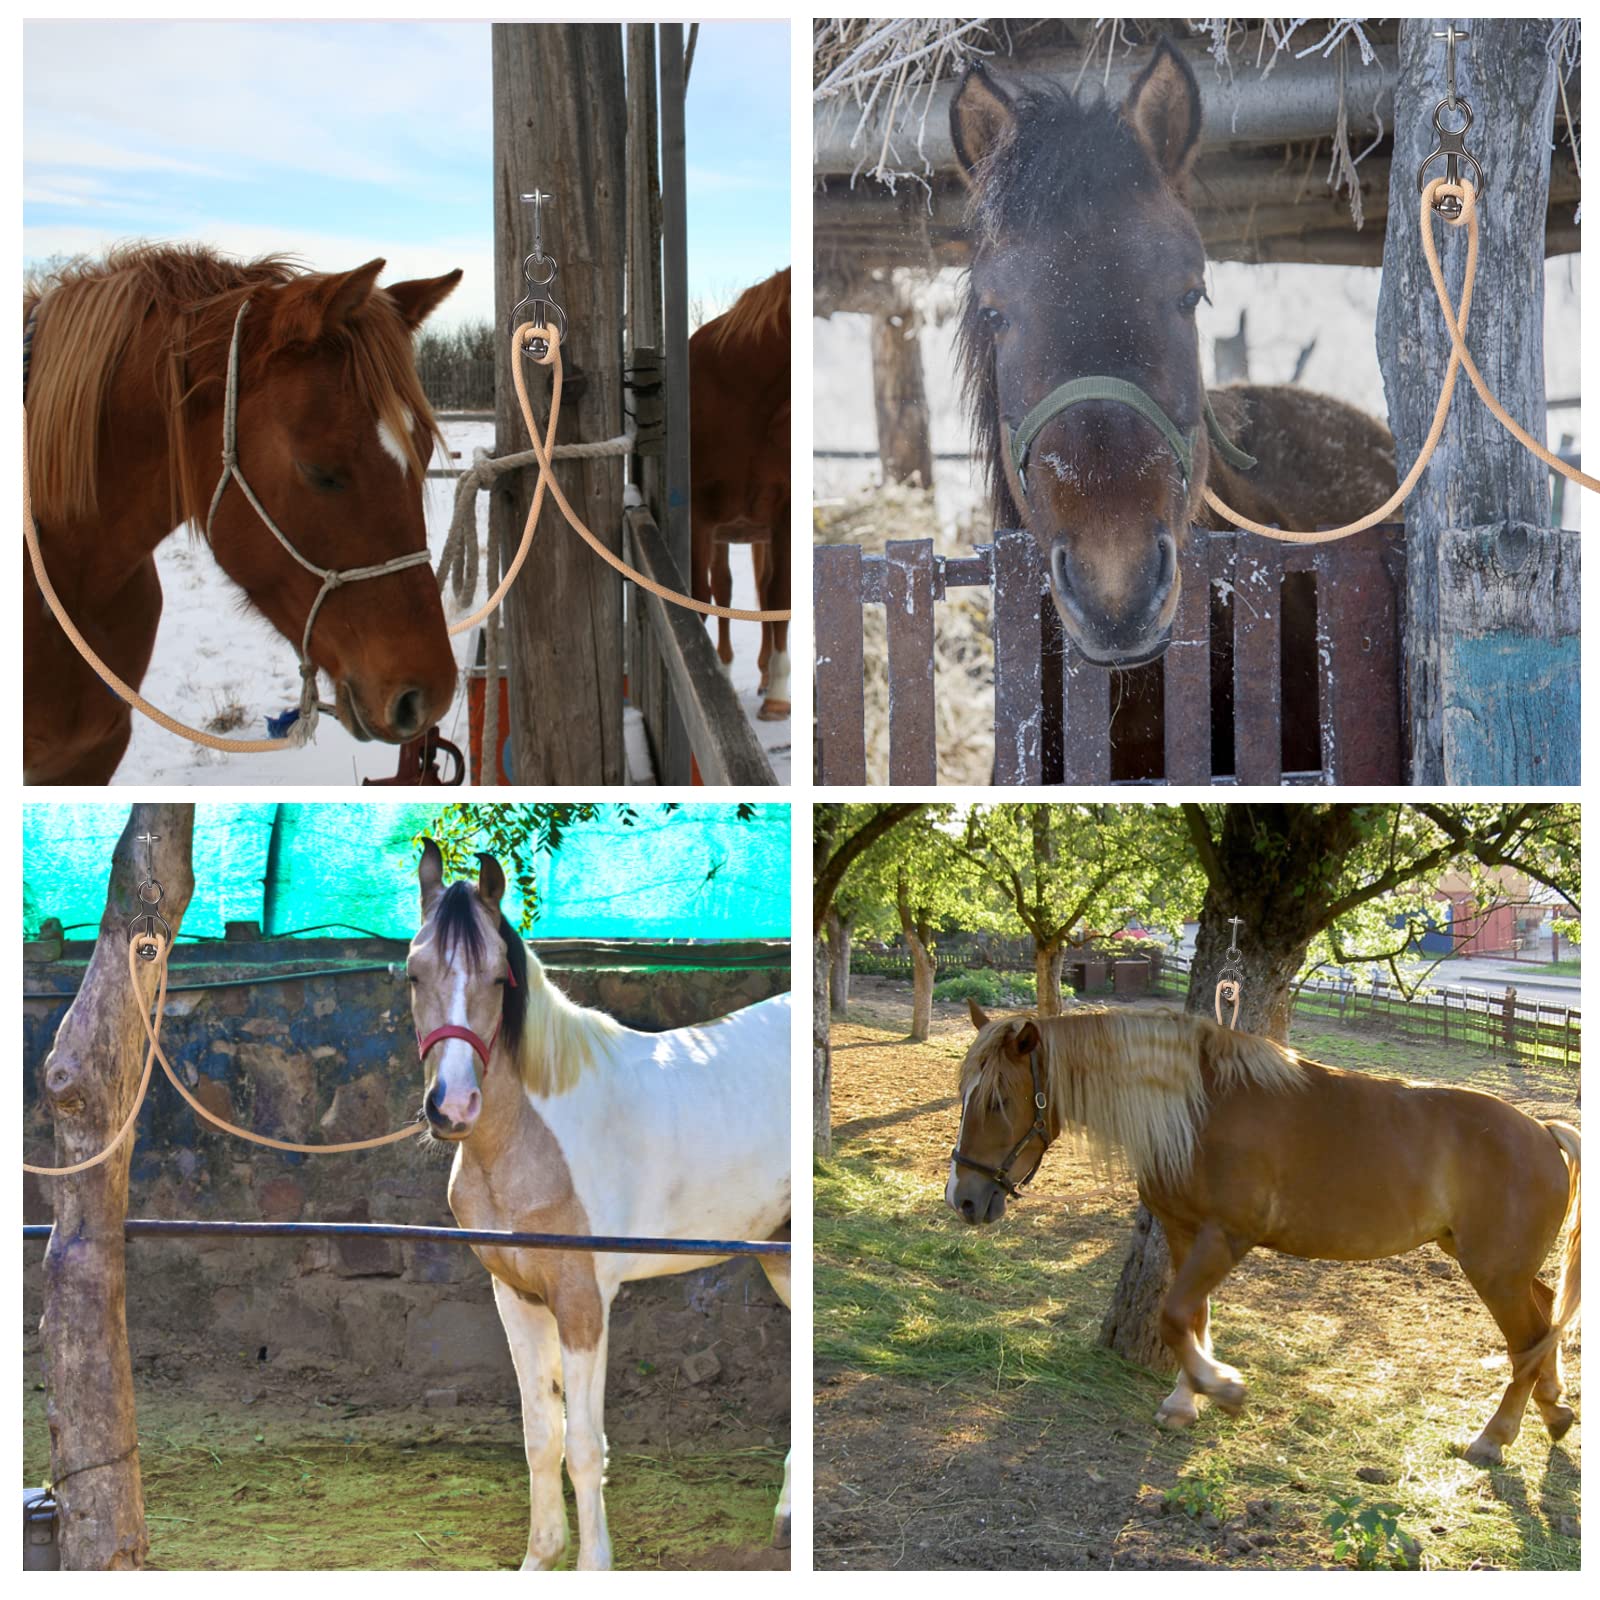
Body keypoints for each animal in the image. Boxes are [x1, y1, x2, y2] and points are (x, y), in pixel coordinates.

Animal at [409, 841, 792, 1569]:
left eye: (498, 979)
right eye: (414, 974)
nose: (452, 1107)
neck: (536, 1140)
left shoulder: (584, 1300)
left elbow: (585, 1447)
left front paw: (592, 1564)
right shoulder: (518, 1296)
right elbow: (542, 1437)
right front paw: (540, 1557)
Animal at [948, 1001, 1581, 1468]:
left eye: (997, 1101)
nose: (964, 1198)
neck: (1199, 1112)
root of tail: (1543, 1132)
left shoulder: (1225, 1238)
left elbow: (1174, 1316)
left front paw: (1223, 1389)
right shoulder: (1185, 1232)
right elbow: (1192, 1317)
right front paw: (1185, 1400)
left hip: (1493, 1273)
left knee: (1528, 1340)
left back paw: (1494, 1437)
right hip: (1494, 1264)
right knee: (1546, 1312)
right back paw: (1554, 1409)